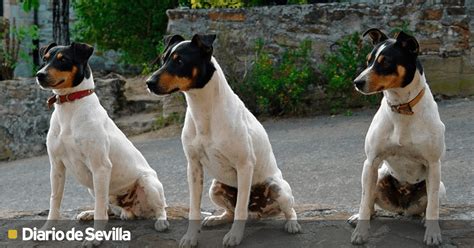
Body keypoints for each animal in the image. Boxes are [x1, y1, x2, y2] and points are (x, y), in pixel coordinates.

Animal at [37, 41, 170, 245]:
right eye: (45, 59)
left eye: (63, 60)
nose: (39, 75)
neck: (69, 109)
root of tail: (130, 209)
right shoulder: (57, 167)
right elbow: (55, 202)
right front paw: (47, 230)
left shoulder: (100, 167)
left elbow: (101, 209)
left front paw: (95, 238)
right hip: (92, 185)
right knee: (108, 208)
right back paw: (89, 213)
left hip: (148, 183)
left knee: (160, 207)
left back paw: (161, 222)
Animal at [146, 34, 302, 247]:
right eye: (163, 59)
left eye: (180, 61)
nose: (148, 82)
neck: (204, 111)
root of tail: (257, 213)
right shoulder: (193, 167)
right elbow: (194, 208)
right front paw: (191, 237)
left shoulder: (244, 165)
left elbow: (241, 208)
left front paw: (234, 236)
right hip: (215, 187)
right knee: (230, 211)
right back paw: (216, 218)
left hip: (277, 187)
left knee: (286, 209)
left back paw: (292, 224)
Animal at [350, 28, 446, 245]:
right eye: (368, 61)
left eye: (385, 62)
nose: (357, 82)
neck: (401, 108)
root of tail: (403, 207)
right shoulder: (371, 162)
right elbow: (363, 201)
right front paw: (361, 232)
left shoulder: (433, 164)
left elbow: (433, 205)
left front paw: (433, 233)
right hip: (376, 175)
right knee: (369, 202)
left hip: (439, 184)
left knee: (429, 205)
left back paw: (425, 220)